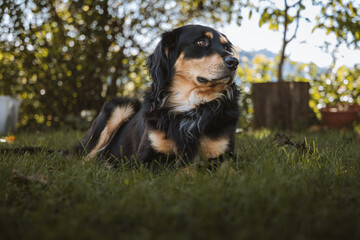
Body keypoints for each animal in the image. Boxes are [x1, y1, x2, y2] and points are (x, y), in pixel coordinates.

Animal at [75, 24, 239, 167]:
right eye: (201, 42)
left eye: (226, 47)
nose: (234, 62)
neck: (190, 103)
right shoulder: (147, 158)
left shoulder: (224, 156)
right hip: (118, 109)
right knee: (83, 160)